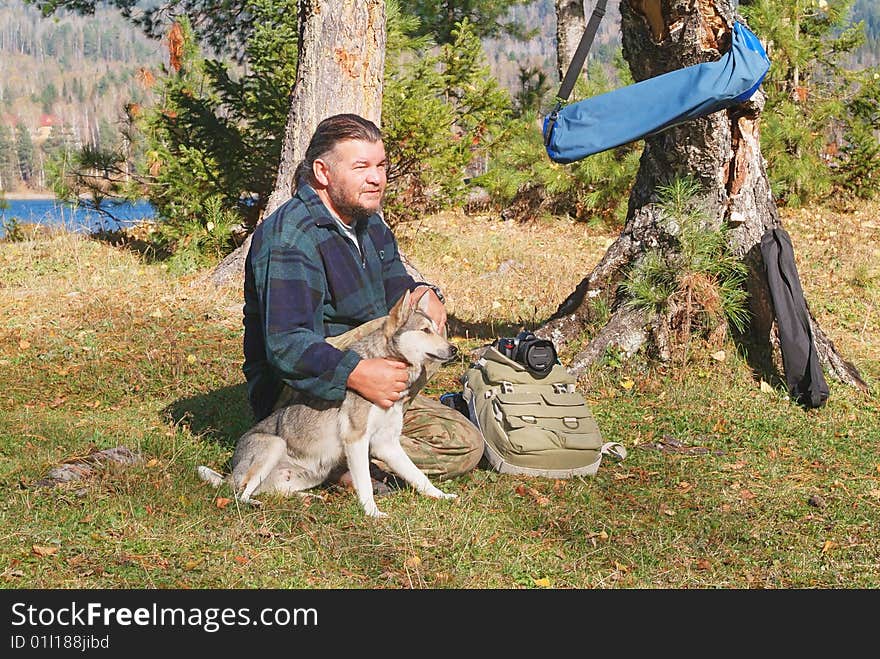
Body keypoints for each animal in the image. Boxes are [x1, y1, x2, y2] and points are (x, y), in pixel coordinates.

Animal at [198, 292, 460, 520]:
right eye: (425, 330)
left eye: (436, 329)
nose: (454, 349)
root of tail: (230, 474)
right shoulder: (356, 440)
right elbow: (365, 484)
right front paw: (372, 514)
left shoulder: (387, 444)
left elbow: (418, 476)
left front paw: (442, 496)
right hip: (274, 446)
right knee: (241, 493)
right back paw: (253, 503)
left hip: (308, 475)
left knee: (277, 492)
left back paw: (309, 499)